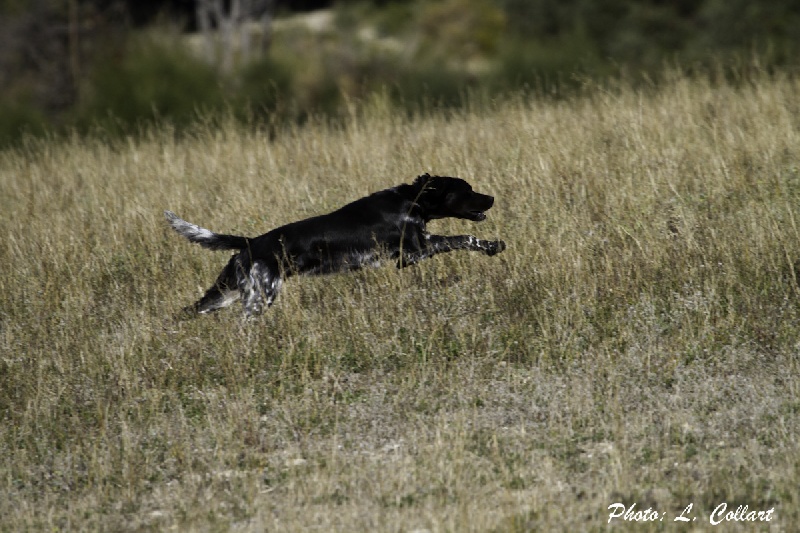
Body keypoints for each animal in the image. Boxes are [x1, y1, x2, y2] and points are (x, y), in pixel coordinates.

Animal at [166, 175, 506, 316]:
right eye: (467, 189)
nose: (492, 197)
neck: (411, 200)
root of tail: (251, 242)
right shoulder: (412, 253)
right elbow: (461, 239)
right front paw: (492, 246)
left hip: (228, 293)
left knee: (187, 311)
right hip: (259, 296)